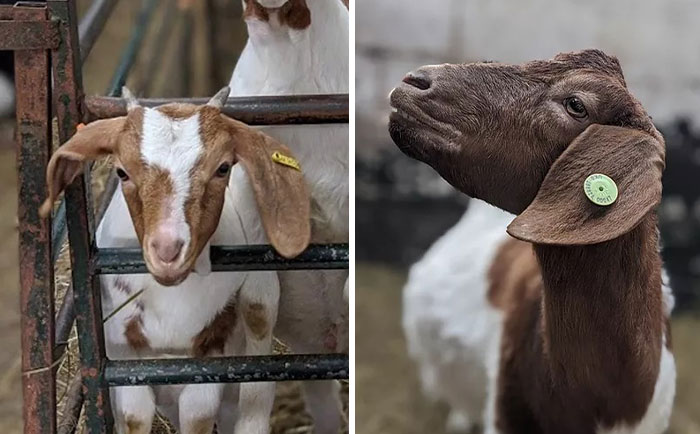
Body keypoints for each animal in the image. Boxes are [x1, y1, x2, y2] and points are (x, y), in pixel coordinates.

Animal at [40, 87, 311, 434]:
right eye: (122, 172)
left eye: (223, 168)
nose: (167, 251)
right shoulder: (123, 358)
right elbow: (134, 417)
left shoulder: (209, 359)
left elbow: (198, 417)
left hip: (260, 310)